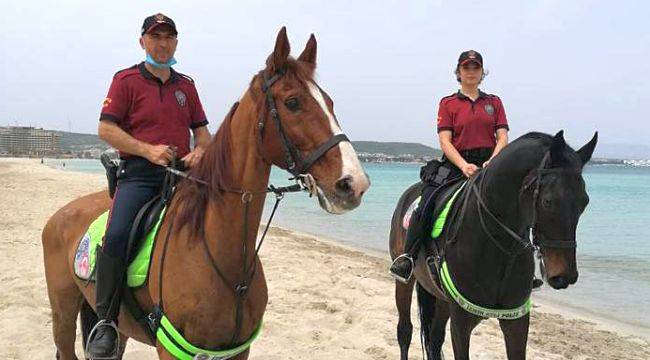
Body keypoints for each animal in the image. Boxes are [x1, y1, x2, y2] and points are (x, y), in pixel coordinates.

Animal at [43, 28, 370, 360]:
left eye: (329, 102)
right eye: (292, 102)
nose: (354, 183)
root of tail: (60, 215)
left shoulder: (237, 351)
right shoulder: (171, 349)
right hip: (63, 313)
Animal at [388, 131, 596, 358]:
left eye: (585, 202)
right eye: (548, 201)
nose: (565, 276)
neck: (497, 246)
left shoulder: (516, 321)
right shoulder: (461, 321)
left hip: (441, 297)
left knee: (435, 339)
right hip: (405, 282)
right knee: (404, 331)